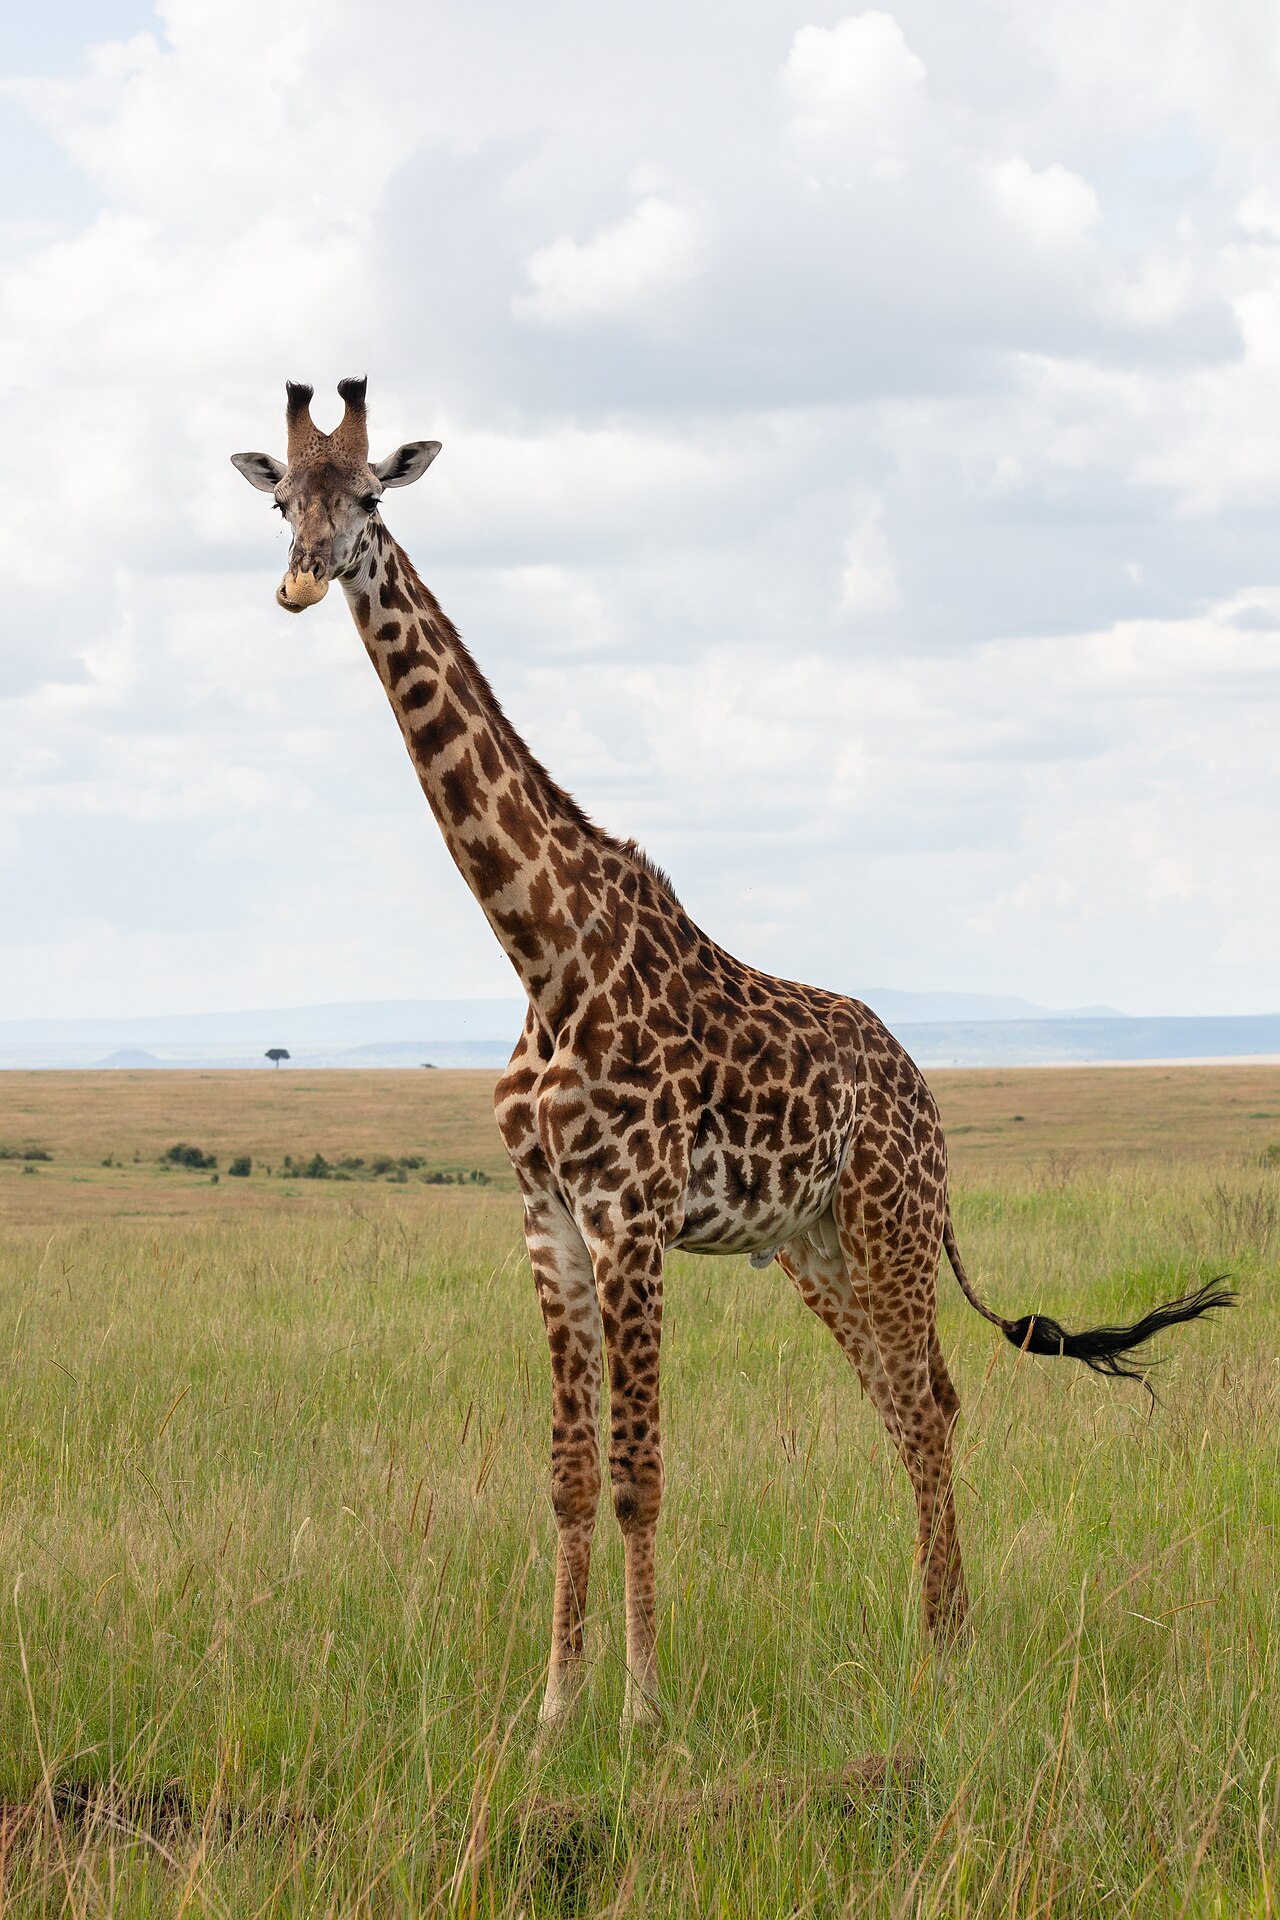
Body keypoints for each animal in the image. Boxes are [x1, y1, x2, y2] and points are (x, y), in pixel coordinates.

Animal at [233, 379, 1234, 1726]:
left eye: (371, 499)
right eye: (283, 499)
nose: (297, 583)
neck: (542, 951)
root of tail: (923, 1094)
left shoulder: (632, 1216)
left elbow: (636, 1472)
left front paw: (644, 1713)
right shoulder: (545, 1220)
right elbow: (565, 1474)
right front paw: (553, 1713)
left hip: (887, 1225)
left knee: (928, 1400)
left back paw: (945, 1649)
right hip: (813, 1245)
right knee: (908, 1402)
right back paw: (941, 1633)